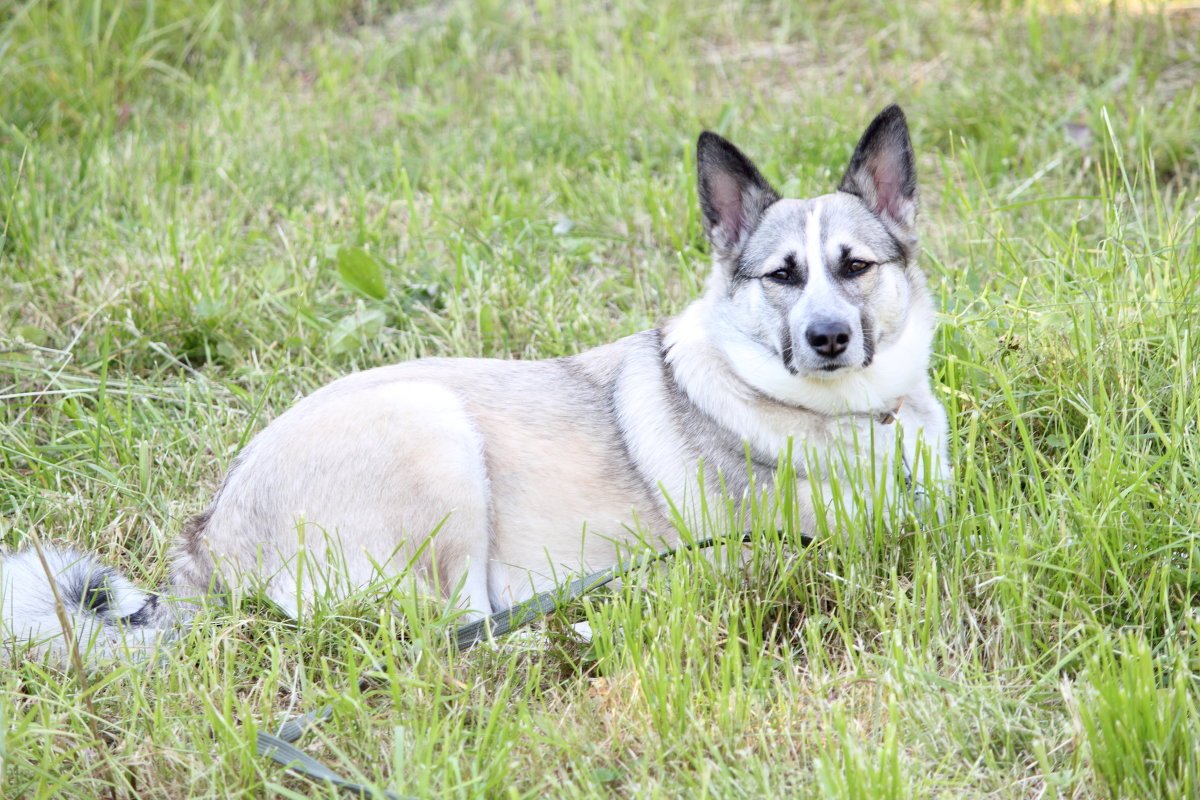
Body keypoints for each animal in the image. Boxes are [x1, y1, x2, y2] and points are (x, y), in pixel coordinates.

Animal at [4, 104, 950, 657]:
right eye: (782, 276)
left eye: (855, 265)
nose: (828, 339)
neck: (852, 415)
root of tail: (210, 540)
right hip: (436, 440)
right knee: (452, 632)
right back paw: (567, 630)